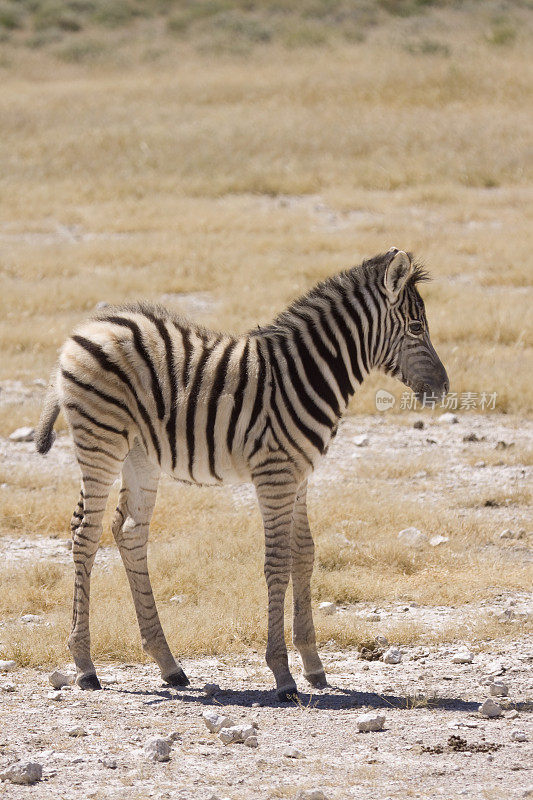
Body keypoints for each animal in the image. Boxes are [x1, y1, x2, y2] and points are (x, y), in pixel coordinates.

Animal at [35, 248, 446, 700]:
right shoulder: (275, 474)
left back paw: (168, 664)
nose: (443, 388)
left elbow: (304, 554)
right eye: (415, 327)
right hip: (101, 441)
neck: (308, 374)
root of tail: (87, 327)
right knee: (85, 534)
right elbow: (277, 562)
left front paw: (314, 665)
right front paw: (283, 675)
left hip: (140, 454)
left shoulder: (300, 475)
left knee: (128, 533)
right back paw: (85, 666)